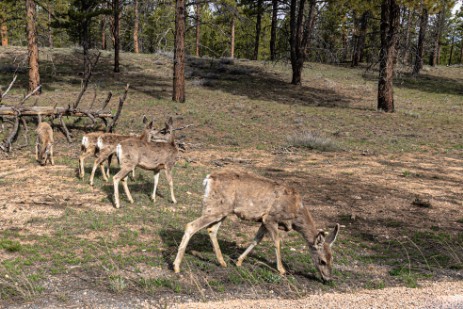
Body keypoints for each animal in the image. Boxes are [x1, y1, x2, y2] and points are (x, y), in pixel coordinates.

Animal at [174, 168, 340, 282]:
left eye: (333, 259)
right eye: (322, 261)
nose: (328, 278)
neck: (296, 213)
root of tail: (208, 179)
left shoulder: (263, 221)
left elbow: (256, 240)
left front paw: (239, 261)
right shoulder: (271, 218)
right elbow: (277, 242)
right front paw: (282, 270)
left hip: (222, 210)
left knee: (211, 230)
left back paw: (222, 262)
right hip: (215, 207)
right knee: (191, 225)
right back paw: (176, 266)